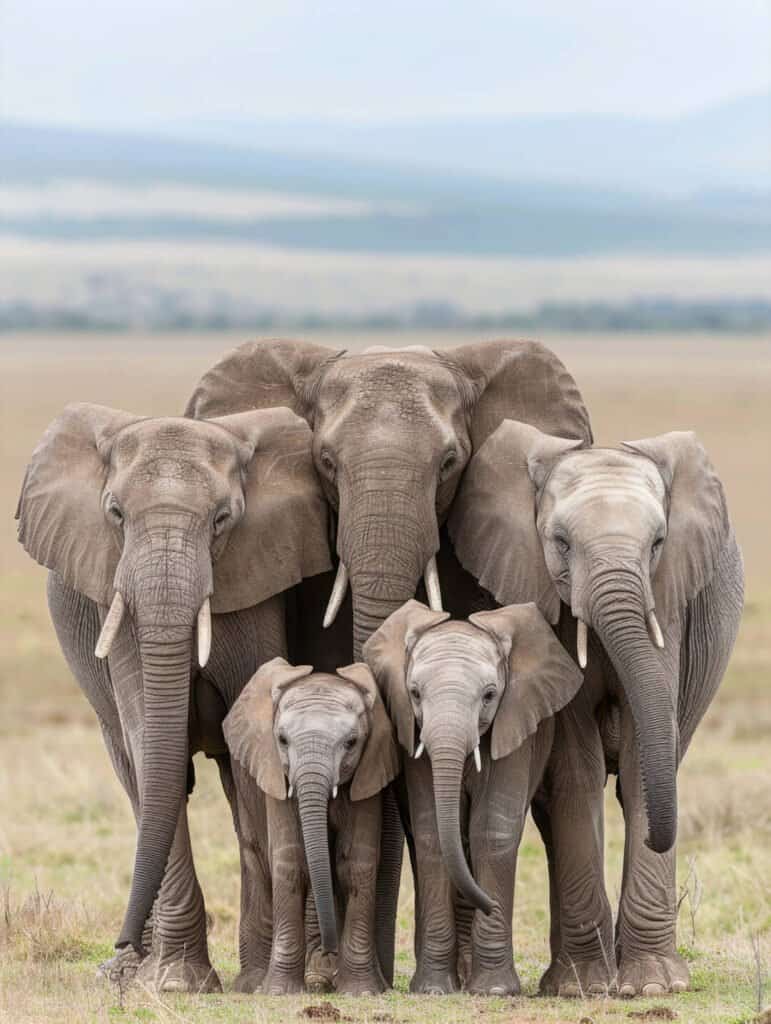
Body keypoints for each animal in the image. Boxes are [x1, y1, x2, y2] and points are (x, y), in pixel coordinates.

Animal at [16, 403, 331, 991]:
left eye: (222, 519)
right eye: (115, 514)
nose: (119, 939)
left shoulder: (258, 585)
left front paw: (255, 982)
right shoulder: (114, 599)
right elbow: (148, 740)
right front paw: (177, 982)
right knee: (135, 778)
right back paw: (130, 970)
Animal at [222, 657, 399, 995]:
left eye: (351, 743)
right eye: (282, 740)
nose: (330, 949)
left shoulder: (369, 773)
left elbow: (356, 863)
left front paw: (360, 991)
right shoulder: (276, 775)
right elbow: (291, 861)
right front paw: (279, 992)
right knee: (256, 856)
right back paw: (255, 983)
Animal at [363, 599, 583, 996]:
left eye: (490, 695)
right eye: (414, 693)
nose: (488, 904)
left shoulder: (515, 727)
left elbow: (492, 830)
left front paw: (494, 990)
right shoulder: (414, 737)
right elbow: (432, 833)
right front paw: (433, 990)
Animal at [448, 421, 744, 997]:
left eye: (658, 544)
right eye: (561, 544)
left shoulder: (666, 606)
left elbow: (640, 764)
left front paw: (652, 986)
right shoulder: (550, 611)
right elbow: (577, 767)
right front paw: (583, 986)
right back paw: (568, 976)